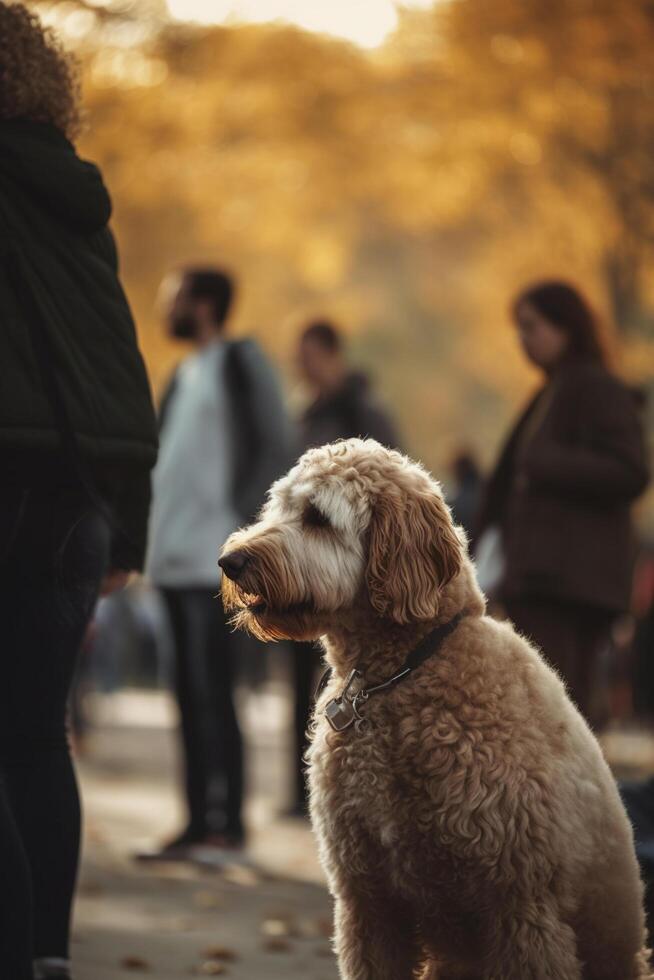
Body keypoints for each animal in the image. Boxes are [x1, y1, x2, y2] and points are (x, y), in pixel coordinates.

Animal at [220, 440, 652, 976]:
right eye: (277, 505)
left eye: (317, 517)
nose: (229, 561)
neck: (402, 675)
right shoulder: (368, 900)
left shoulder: (523, 907)